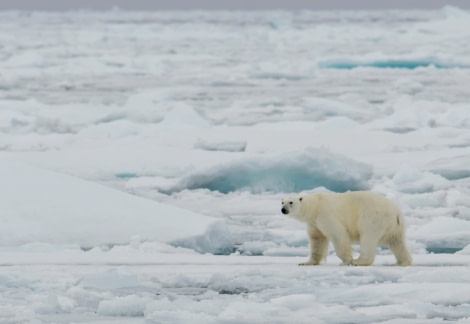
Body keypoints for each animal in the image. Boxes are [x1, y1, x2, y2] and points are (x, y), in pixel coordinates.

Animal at [282, 191, 412, 268]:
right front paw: (306, 262)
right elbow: (317, 240)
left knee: (368, 238)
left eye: (291, 202)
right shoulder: (314, 223)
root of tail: (396, 213)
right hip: (395, 227)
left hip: (374, 218)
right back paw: (400, 262)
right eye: (282, 202)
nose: (283, 210)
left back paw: (358, 261)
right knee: (397, 242)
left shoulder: (325, 215)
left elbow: (338, 235)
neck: (316, 205)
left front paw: (346, 261)